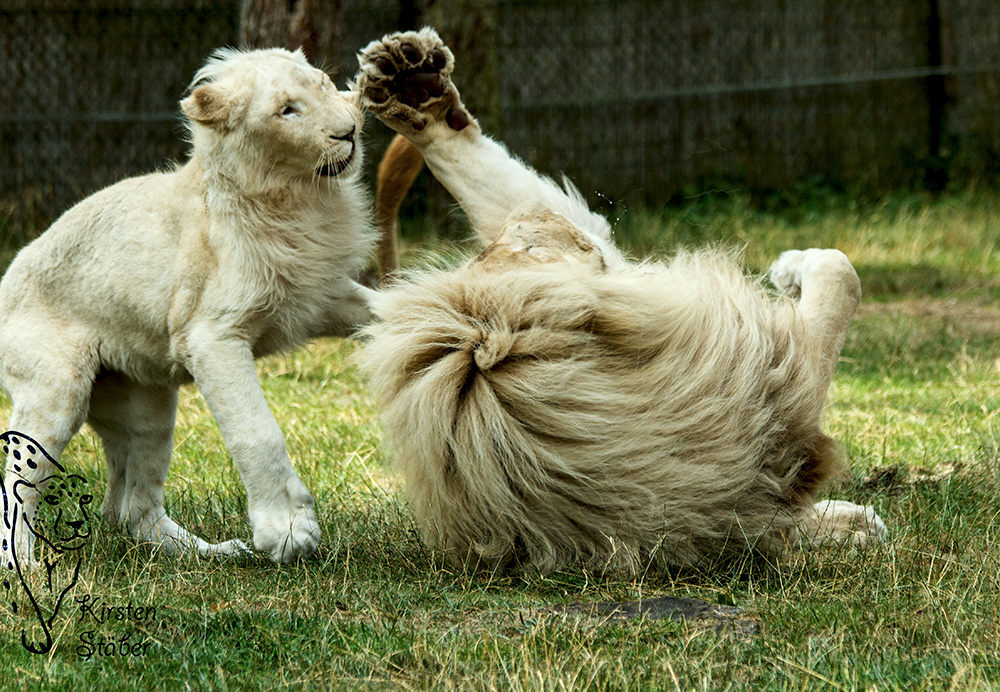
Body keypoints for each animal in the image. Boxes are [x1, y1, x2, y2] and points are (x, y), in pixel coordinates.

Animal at [0, 50, 376, 568]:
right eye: (287, 110)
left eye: (322, 84)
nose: (350, 130)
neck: (294, 200)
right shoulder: (211, 337)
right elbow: (257, 430)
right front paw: (288, 531)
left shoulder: (320, 294)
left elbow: (387, 306)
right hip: (55, 392)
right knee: (20, 488)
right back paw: (24, 567)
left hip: (148, 409)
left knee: (132, 509)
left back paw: (214, 553)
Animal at [356, 29, 888, 572]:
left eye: (520, 245)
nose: (530, 215)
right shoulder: (772, 383)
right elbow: (841, 272)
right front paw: (792, 267)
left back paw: (414, 86)